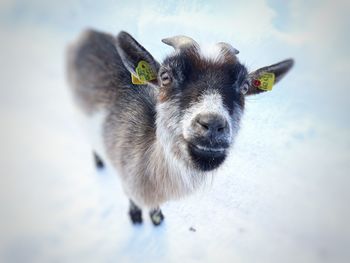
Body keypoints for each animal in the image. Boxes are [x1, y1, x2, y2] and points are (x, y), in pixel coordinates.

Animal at [67, 29, 294, 227]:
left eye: (245, 87)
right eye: (165, 77)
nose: (212, 124)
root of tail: (87, 32)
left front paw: (158, 219)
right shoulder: (125, 174)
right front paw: (136, 218)